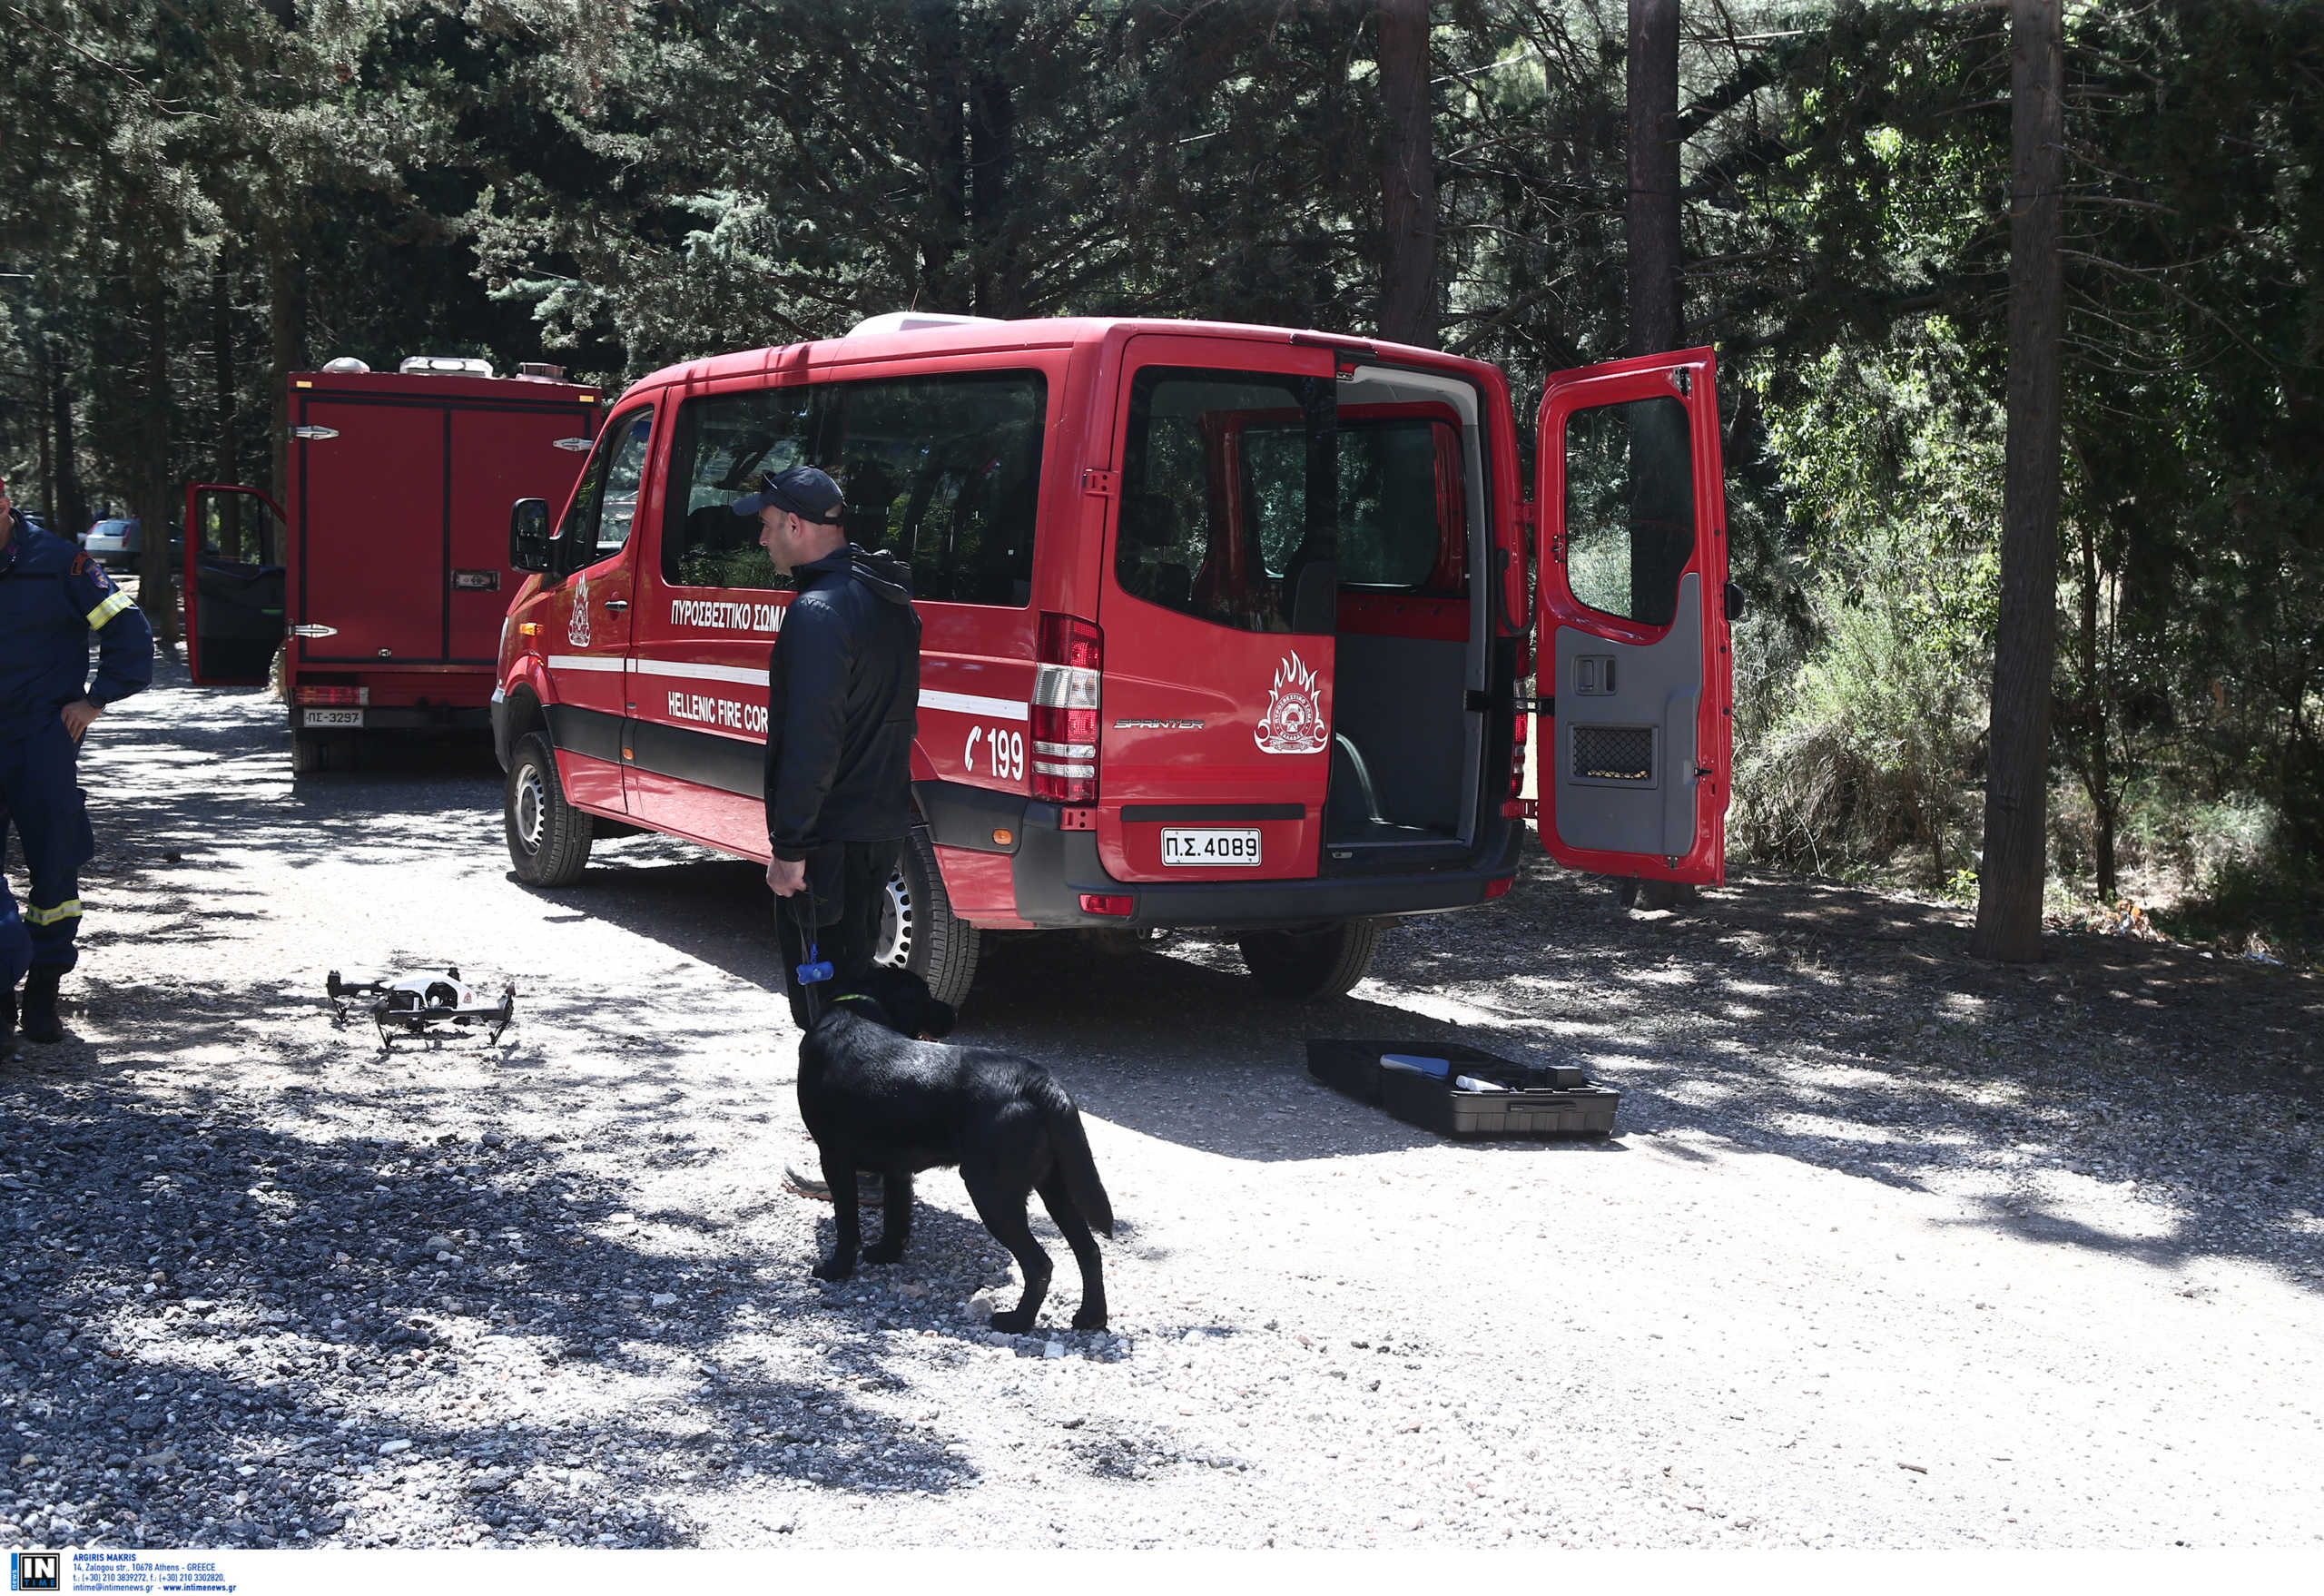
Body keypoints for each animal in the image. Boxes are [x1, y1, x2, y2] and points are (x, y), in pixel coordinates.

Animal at [799, 966, 1115, 1328]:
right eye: (924, 996)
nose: (954, 1013)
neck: (855, 1007)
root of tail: (1038, 1081)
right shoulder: (897, 1168)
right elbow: (897, 1214)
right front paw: (886, 1254)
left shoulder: (833, 1159)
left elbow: (847, 1222)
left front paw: (836, 1269)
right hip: (1055, 1187)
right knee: (1089, 1250)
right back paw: (1091, 1316)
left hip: (991, 1192)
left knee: (1040, 1264)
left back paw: (1017, 1321)